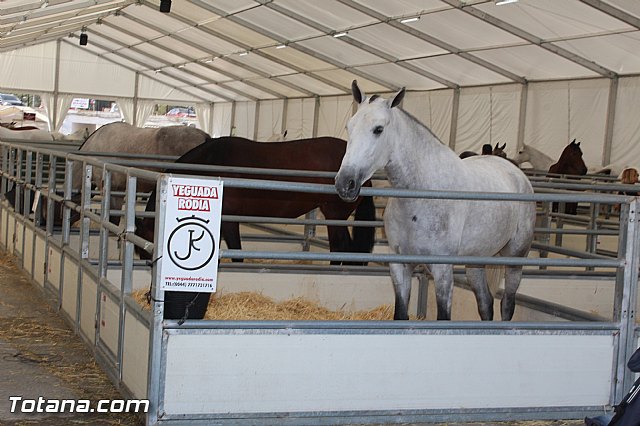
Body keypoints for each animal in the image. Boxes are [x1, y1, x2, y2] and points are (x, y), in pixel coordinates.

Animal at [134, 136, 376, 266]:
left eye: (146, 249)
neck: (212, 162)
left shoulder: (229, 220)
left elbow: (236, 252)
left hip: (335, 215)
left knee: (340, 246)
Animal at [335, 80, 536, 321]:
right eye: (349, 127)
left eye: (378, 129)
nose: (345, 183)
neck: (421, 197)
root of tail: (517, 174)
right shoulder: (399, 266)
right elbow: (400, 315)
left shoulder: (442, 271)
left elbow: (443, 317)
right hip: (476, 261)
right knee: (486, 303)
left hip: (515, 259)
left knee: (507, 304)